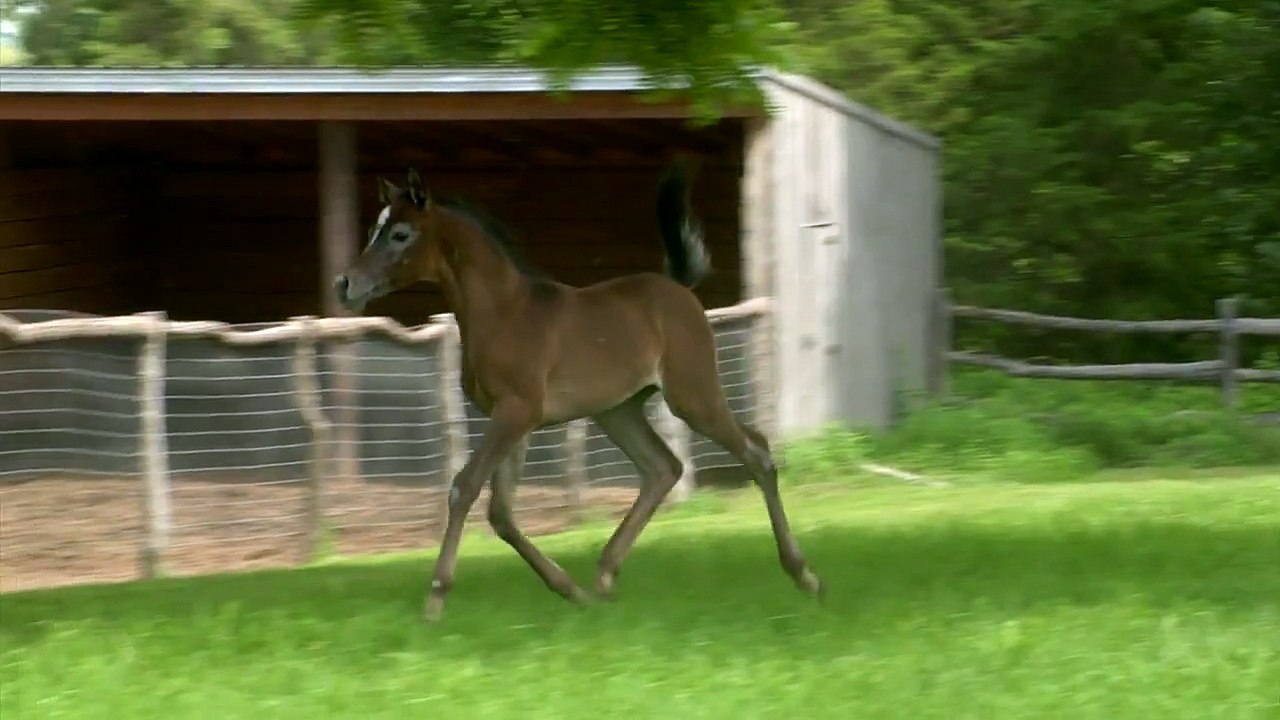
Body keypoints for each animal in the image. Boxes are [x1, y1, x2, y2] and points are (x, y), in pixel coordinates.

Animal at [334, 162, 823, 622]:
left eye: (400, 234)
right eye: (376, 228)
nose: (345, 285)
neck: (504, 312)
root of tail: (680, 290)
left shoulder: (516, 412)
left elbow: (464, 487)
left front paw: (435, 598)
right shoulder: (514, 420)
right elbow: (501, 514)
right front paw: (570, 591)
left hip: (692, 395)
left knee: (756, 452)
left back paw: (804, 574)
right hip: (618, 410)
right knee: (663, 467)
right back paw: (604, 576)